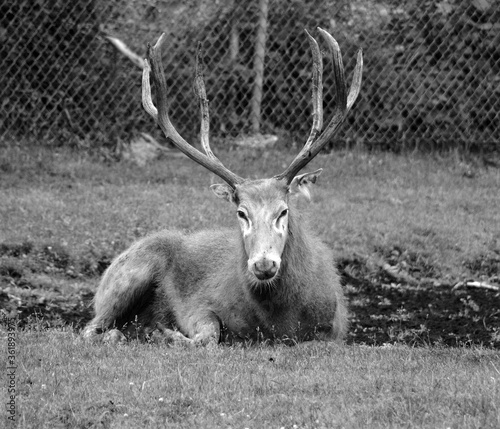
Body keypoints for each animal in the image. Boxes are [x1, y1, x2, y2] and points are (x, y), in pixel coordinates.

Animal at [83, 27, 364, 344]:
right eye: (241, 213)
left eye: (283, 211)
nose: (263, 264)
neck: (279, 323)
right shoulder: (198, 303)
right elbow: (207, 336)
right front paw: (163, 332)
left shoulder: (335, 327)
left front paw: (157, 331)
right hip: (129, 273)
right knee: (91, 327)